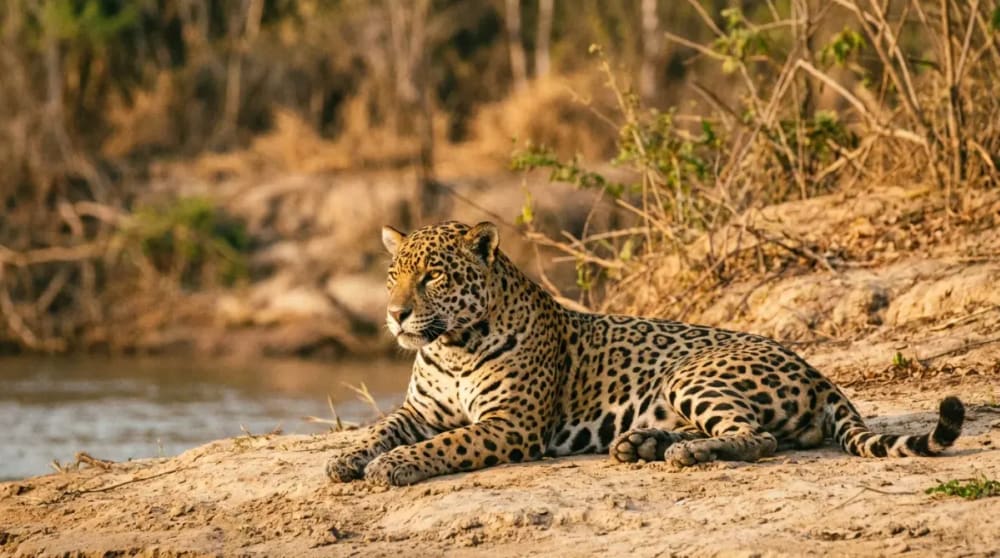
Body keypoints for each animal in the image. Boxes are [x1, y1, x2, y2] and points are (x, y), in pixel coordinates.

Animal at [326, 220, 964, 486]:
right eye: (393, 275)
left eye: (432, 276)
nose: (395, 314)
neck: (452, 346)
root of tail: (815, 369)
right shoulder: (419, 410)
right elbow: (380, 429)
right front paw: (349, 459)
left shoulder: (511, 424)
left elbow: (445, 444)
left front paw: (393, 466)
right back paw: (642, 444)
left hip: (693, 376)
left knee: (757, 438)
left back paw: (680, 454)